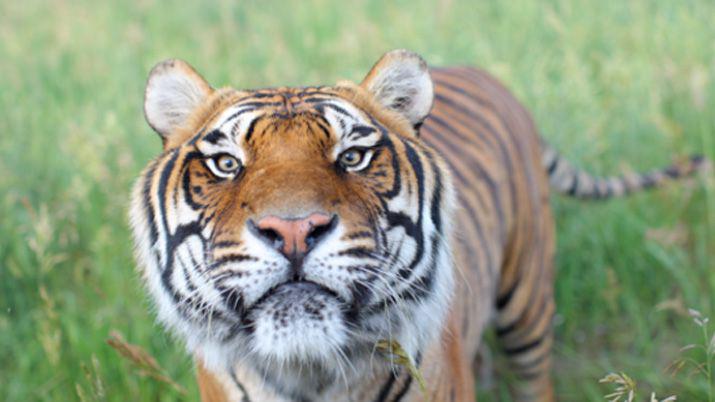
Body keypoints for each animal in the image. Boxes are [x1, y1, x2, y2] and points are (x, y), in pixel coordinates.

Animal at [130, 48, 712, 400]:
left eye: (353, 157)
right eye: (227, 164)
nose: (294, 230)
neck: (311, 372)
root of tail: (484, 74)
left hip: (527, 301)